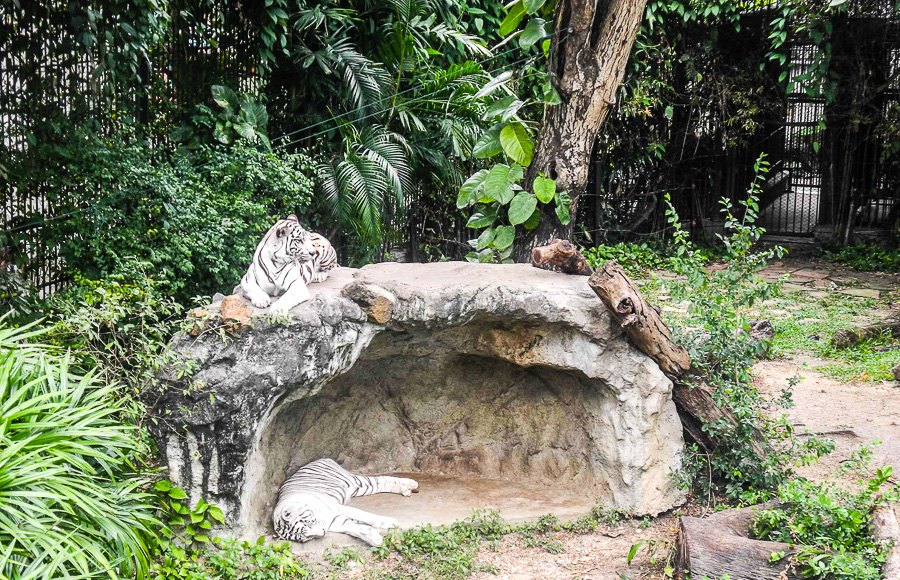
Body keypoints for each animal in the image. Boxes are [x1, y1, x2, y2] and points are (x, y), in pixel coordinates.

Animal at [273, 458, 418, 546]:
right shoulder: (336, 521)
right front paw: (374, 538)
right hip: (360, 488)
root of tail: (319, 459)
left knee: (382, 479)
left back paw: (410, 483)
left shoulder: (336, 508)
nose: (323, 533)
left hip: (355, 481)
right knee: (381, 484)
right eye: (305, 538)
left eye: (309, 523)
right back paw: (406, 489)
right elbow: (354, 528)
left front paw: (388, 523)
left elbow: (363, 515)